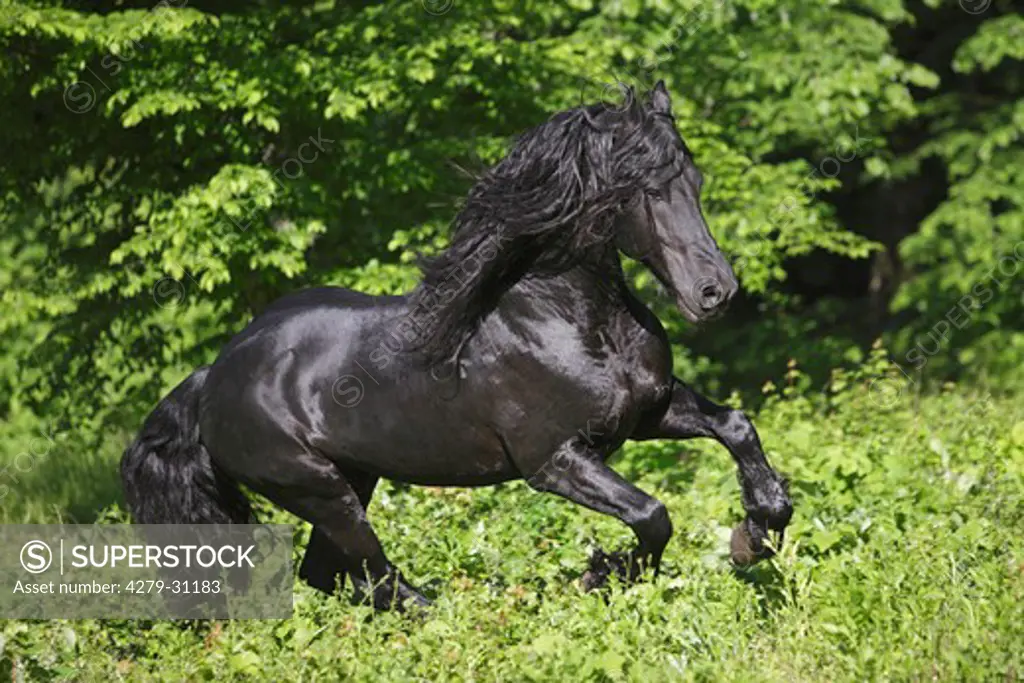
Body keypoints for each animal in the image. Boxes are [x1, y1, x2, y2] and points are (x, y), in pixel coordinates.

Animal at [119, 81, 790, 610]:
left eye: (693, 180)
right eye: (641, 189)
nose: (715, 292)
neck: (571, 321)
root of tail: (212, 376)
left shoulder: (648, 412)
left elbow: (735, 425)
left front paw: (761, 525)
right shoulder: (555, 461)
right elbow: (653, 516)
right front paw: (601, 575)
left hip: (353, 479)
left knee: (332, 576)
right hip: (319, 491)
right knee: (376, 578)